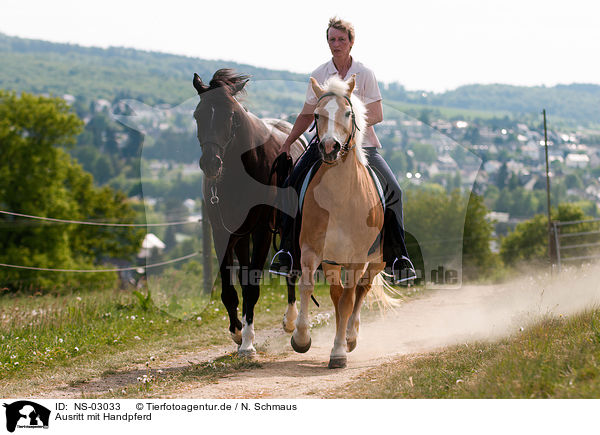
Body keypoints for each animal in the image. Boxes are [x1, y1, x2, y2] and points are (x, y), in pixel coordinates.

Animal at [193, 67, 304, 354]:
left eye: (231, 115)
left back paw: (291, 321)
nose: (211, 163)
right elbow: (230, 289)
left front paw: (248, 342)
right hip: (241, 236)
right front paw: (236, 331)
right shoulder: (221, 232)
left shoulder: (262, 231)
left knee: (292, 270)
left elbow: (252, 286)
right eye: (198, 114)